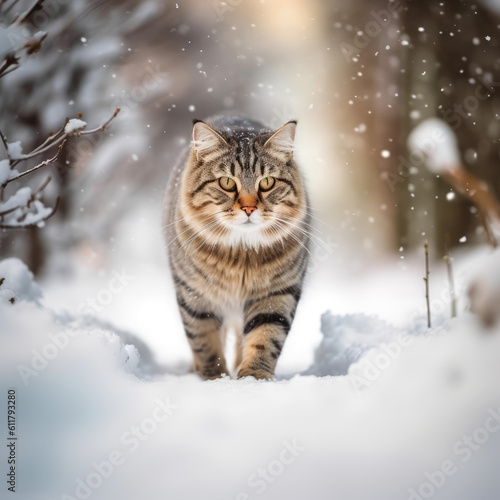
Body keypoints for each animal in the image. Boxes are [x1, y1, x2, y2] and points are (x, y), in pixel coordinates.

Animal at [164, 114, 310, 378]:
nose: (249, 208)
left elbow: (264, 337)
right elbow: (205, 341)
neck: (241, 255)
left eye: (267, 182)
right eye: (227, 183)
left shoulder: (276, 293)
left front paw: (253, 376)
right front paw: (215, 378)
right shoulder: (195, 294)